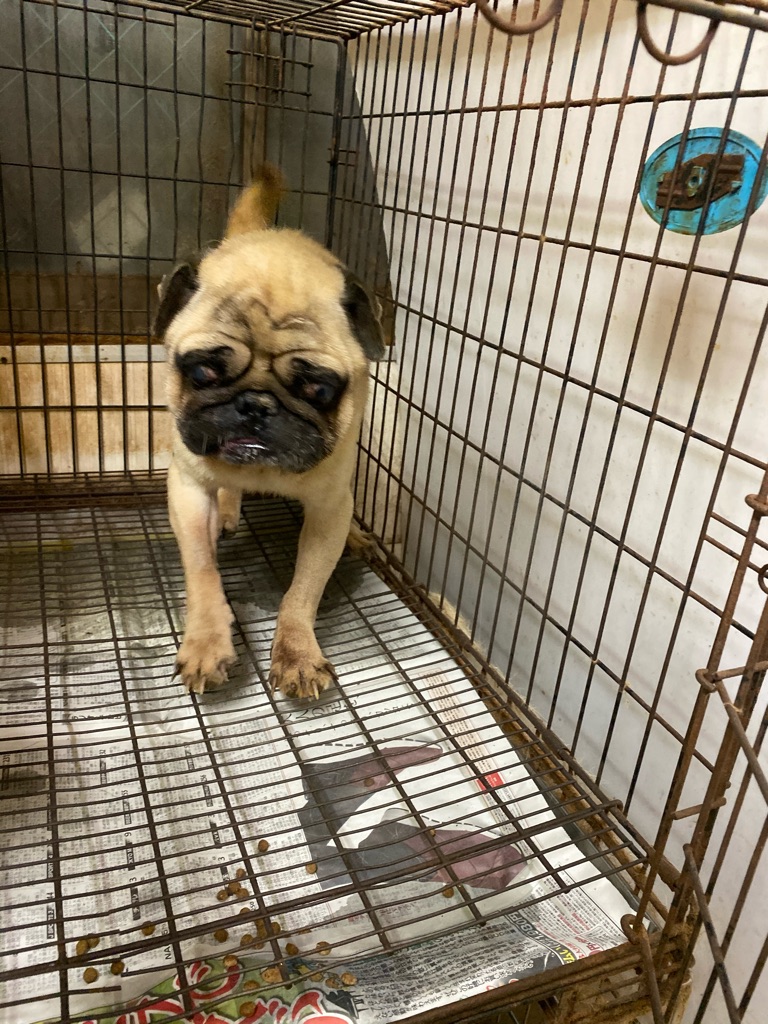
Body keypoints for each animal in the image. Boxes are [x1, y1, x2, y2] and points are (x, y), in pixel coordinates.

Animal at [154, 166, 385, 698]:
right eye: (202, 372)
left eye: (318, 388)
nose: (255, 405)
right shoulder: (188, 491)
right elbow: (202, 571)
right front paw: (206, 642)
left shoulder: (328, 510)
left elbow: (303, 590)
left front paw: (297, 652)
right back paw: (229, 510)